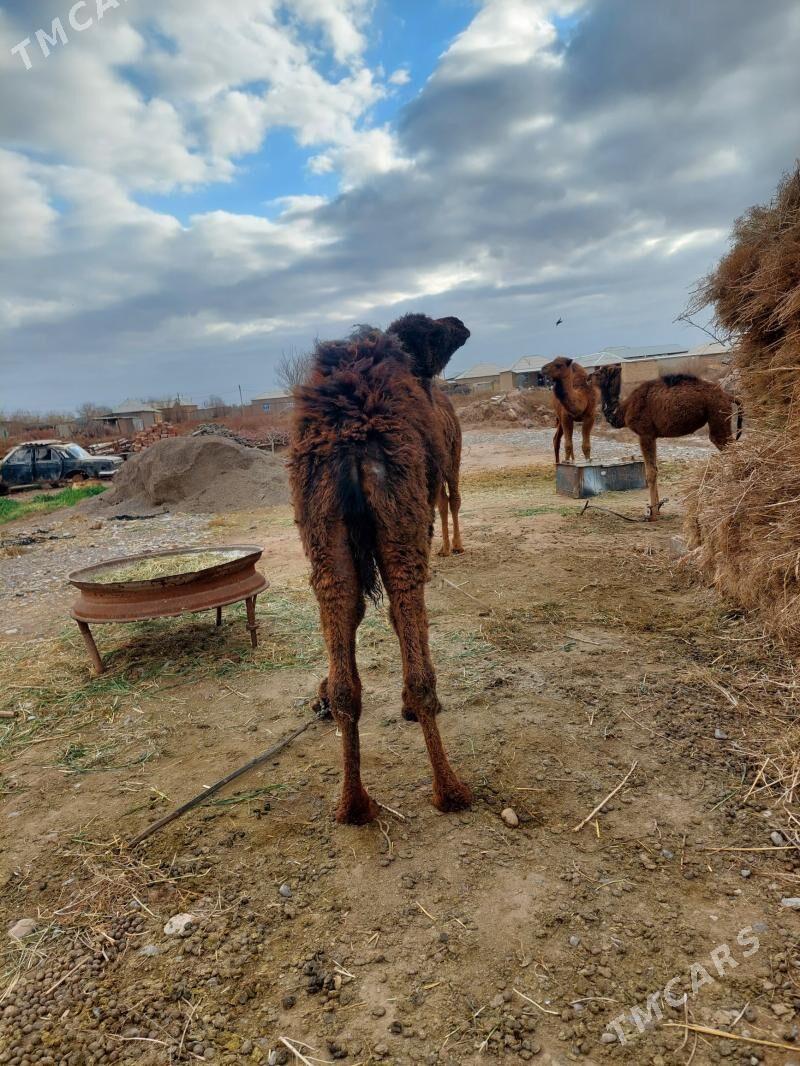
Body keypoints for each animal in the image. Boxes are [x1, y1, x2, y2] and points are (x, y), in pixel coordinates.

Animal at [289, 315, 473, 825]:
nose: (458, 326)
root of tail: (349, 443)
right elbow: (401, 619)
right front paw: (410, 708)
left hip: (322, 534)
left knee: (347, 676)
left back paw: (353, 804)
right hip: (402, 517)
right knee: (414, 643)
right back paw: (449, 789)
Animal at [593, 365, 743, 520]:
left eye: (600, 372)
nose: (589, 377)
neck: (624, 409)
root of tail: (728, 396)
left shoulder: (645, 433)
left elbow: (650, 473)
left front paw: (653, 514)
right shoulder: (652, 436)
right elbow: (655, 469)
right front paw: (657, 509)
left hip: (718, 416)